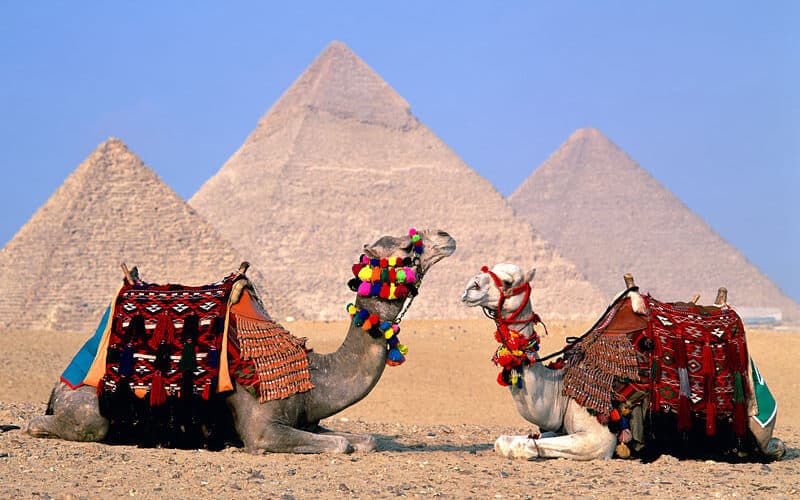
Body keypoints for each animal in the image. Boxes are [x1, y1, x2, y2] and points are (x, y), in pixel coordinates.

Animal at [27, 228, 456, 454]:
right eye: (407, 247)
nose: (446, 237)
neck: (317, 374)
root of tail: (57, 386)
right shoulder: (264, 430)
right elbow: (341, 446)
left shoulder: (310, 420)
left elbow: (363, 440)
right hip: (87, 409)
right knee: (60, 425)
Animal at [462, 264, 786, 461]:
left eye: (507, 281)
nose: (469, 287)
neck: (559, 389)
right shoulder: (559, 426)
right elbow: (506, 441)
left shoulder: (598, 439)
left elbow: (523, 445)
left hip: (755, 424)